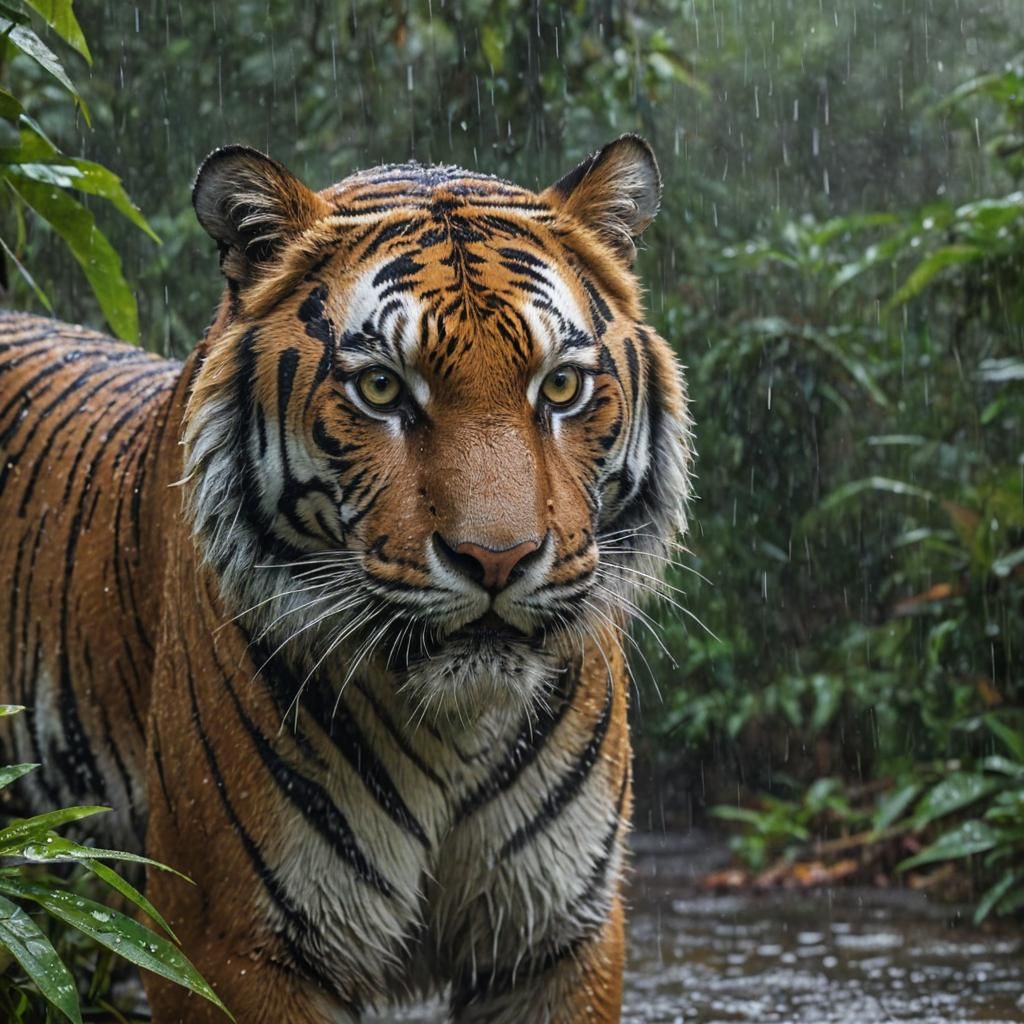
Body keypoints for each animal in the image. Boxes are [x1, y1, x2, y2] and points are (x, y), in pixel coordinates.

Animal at [0, 135, 691, 1023]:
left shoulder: (555, 941)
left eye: (562, 386)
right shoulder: (231, 944)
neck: (457, 729)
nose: (498, 559)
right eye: (382, 388)